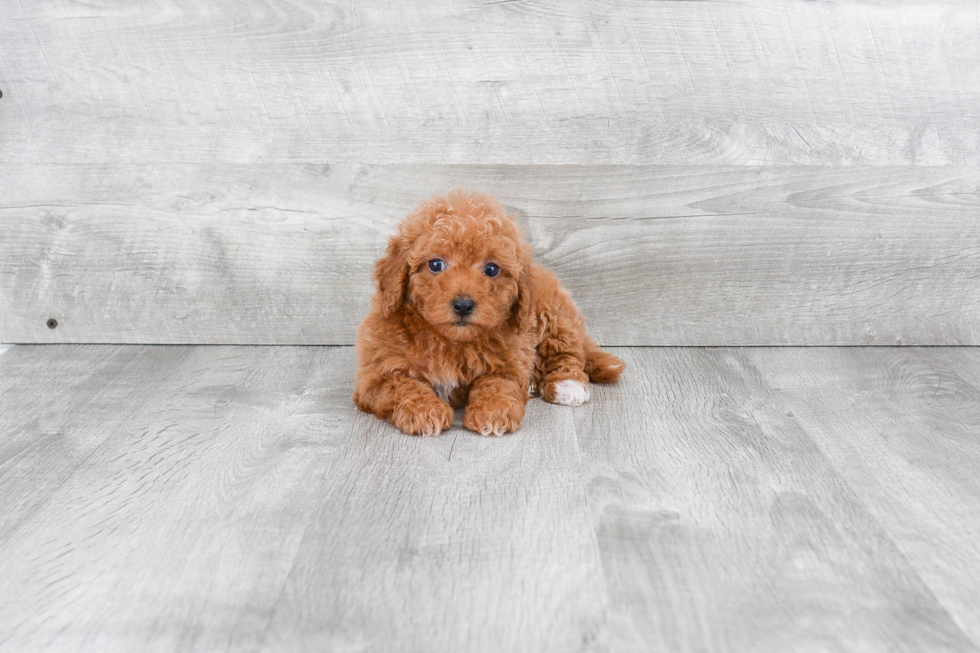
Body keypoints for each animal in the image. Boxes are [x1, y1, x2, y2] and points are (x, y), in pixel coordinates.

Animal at [356, 188, 624, 436]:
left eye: (491, 269)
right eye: (435, 264)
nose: (463, 305)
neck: (451, 342)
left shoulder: (508, 363)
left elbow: (497, 384)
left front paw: (492, 412)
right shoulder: (375, 377)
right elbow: (402, 386)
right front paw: (426, 411)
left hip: (555, 315)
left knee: (568, 352)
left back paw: (567, 384)